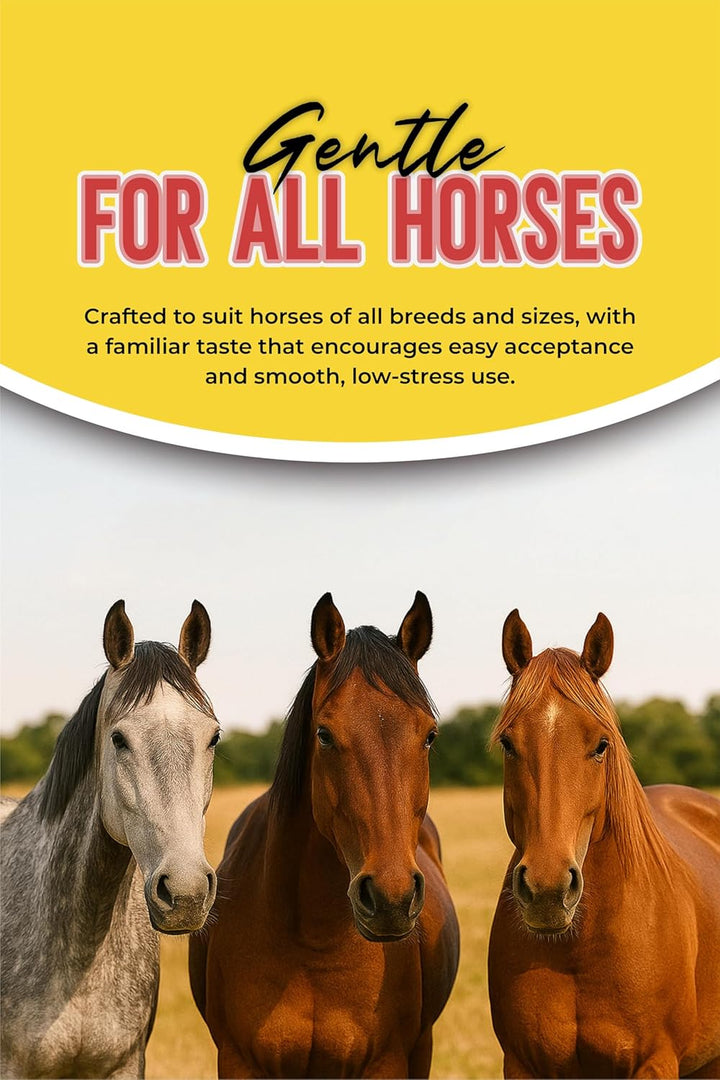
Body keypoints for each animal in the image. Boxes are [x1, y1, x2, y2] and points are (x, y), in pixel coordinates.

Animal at [189, 591, 460, 1078]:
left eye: (429, 735)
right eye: (324, 734)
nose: (391, 898)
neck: (313, 943)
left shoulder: (386, 1062)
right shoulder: (239, 1061)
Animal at [488, 610, 720, 1079]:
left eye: (601, 744)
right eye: (507, 743)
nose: (548, 891)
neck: (580, 948)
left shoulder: (654, 1063)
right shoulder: (522, 1064)